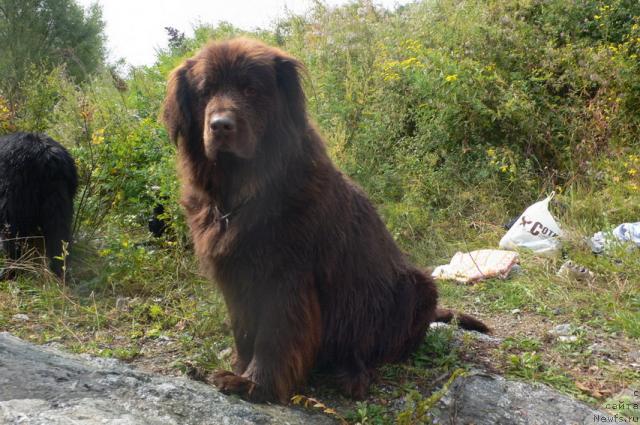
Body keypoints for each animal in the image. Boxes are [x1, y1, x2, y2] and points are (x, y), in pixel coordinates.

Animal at [0, 133, 78, 278]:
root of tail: (48, 158)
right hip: (61, 193)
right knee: (60, 233)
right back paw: (60, 270)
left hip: (15, 191)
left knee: (11, 232)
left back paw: (10, 271)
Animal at [162, 38, 488, 402]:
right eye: (205, 91)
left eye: (250, 89)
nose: (220, 125)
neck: (243, 193)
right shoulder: (235, 276)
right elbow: (244, 332)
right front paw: (239, 370)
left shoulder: (286, 278)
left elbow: (273, 336)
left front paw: (256, 384)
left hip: (417, 289)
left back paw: (353, 372)